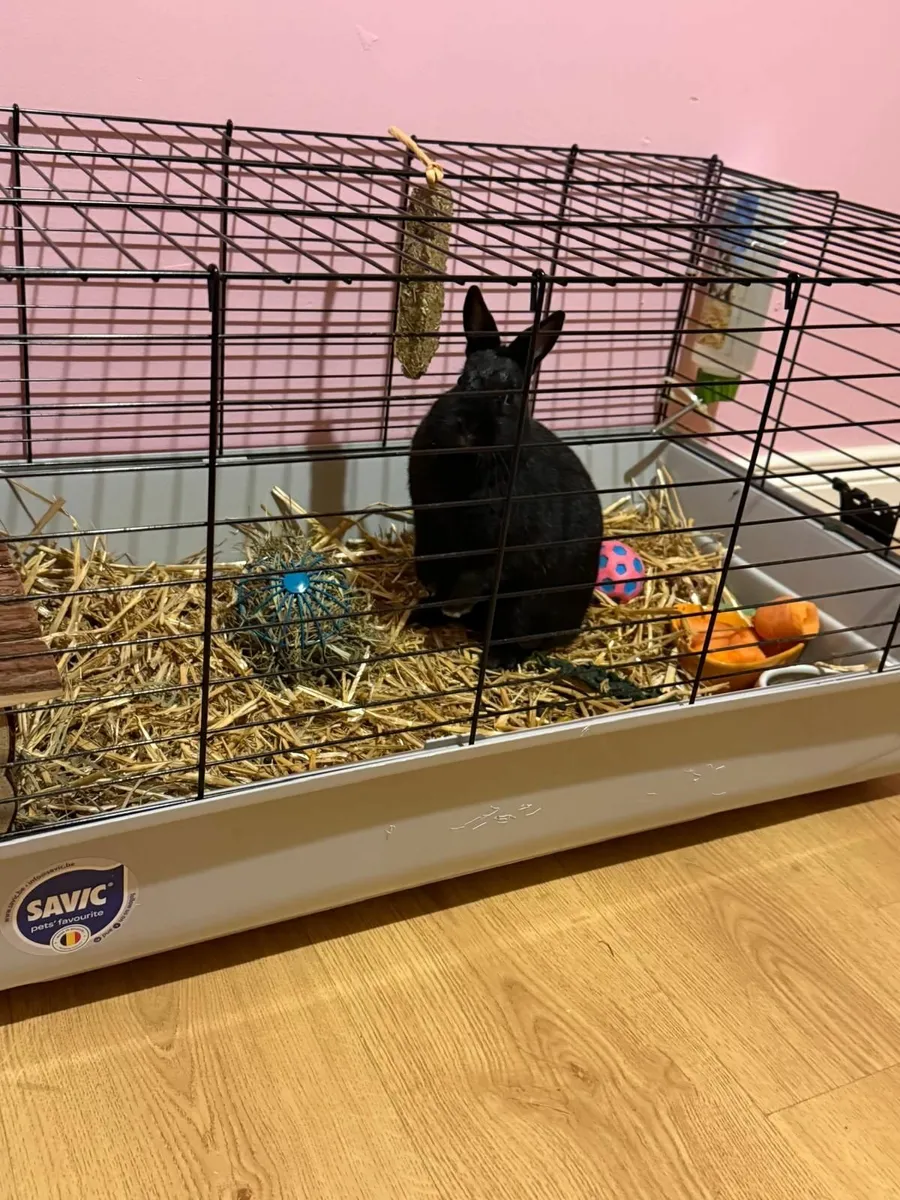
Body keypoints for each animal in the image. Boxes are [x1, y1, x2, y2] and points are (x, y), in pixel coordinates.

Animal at [408, 285, 604, 669]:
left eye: (510, 397)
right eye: (461, 380)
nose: (467, 428)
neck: (467, 464)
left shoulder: (503, 545)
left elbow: (479, 575)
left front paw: (456, 604)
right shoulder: (430, 526)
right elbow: (431, 558)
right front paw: (433, 590)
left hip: (527, 609)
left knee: (523, 637)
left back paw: (496, 657)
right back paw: (421, 614)